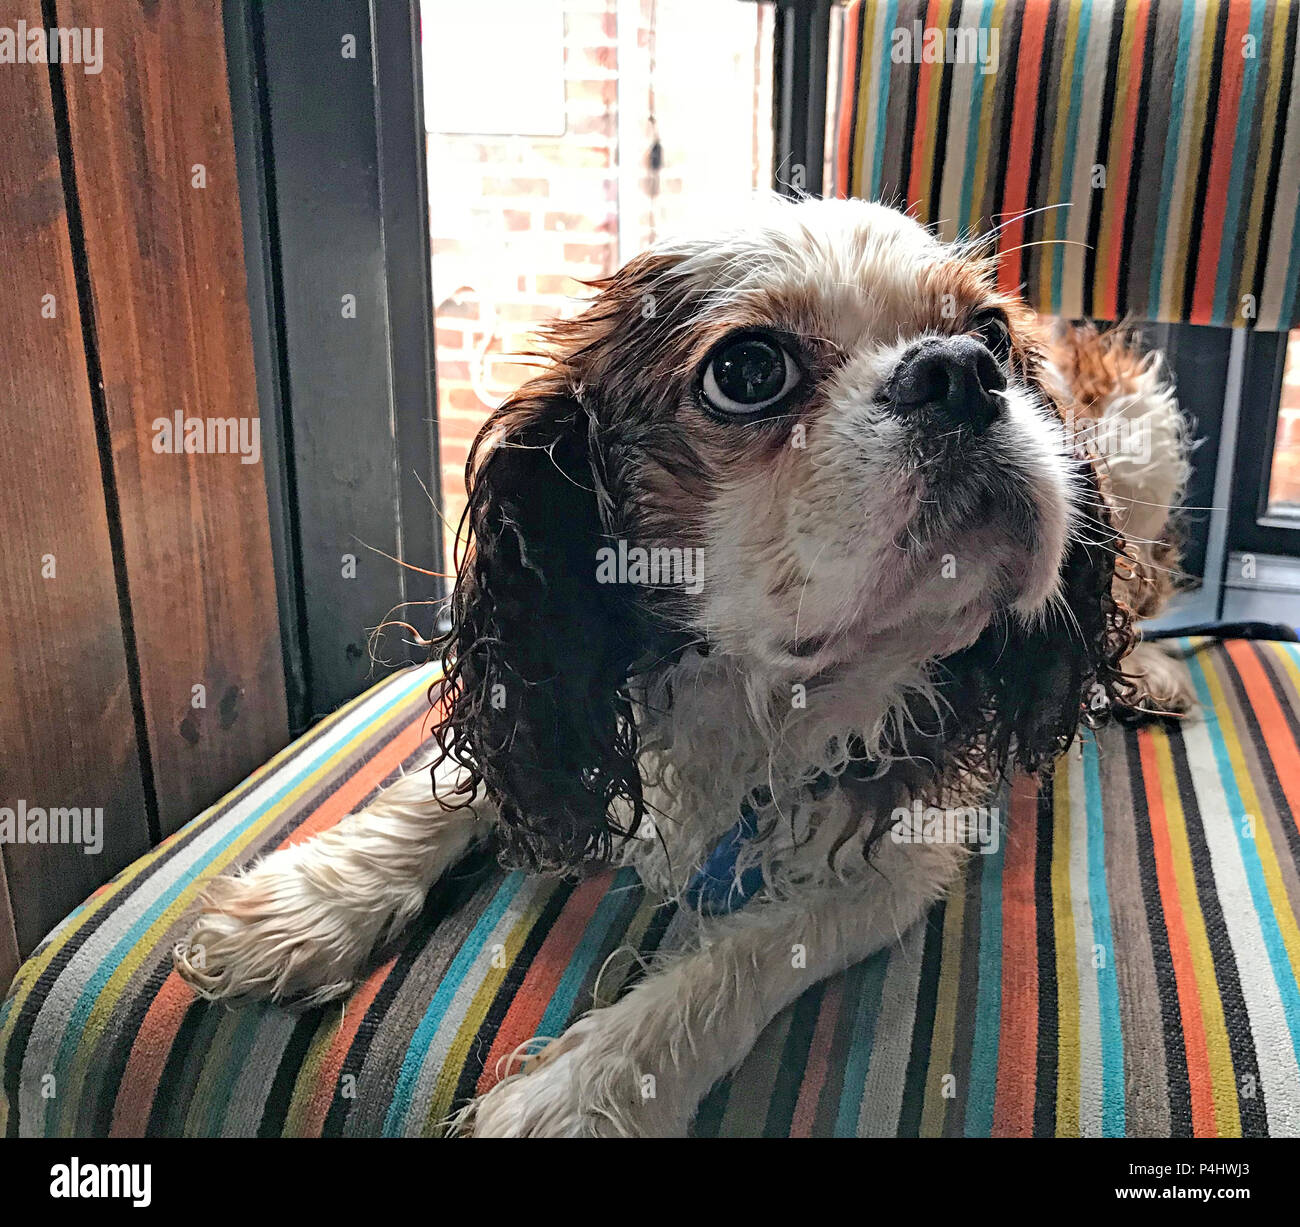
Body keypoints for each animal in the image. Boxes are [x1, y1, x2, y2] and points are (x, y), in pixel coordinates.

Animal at [178, 196, 1190, 1133]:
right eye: (748, 371)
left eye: (989, 334)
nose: (961, 371)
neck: (759, 690)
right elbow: (450, 786)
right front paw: (306, 904)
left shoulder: (901, 847)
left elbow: (737, 957)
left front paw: (577, 1093)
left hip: (1145, 446)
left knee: (1142, 581)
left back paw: (1142, 672)